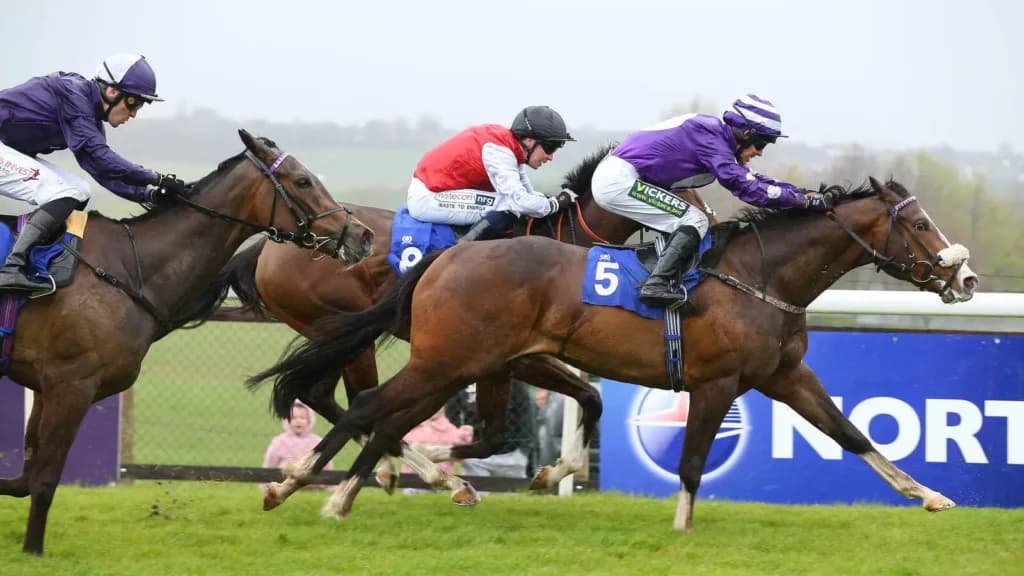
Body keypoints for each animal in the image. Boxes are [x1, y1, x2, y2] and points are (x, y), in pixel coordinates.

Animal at [0, 129, 374, 555]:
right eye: (302, 180)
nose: (363, 235)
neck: (128, 268)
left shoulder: (46, 385)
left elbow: (25, 478)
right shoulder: (71, 385)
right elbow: (43, 479)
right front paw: (33, 550)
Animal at [223, 144, 716, 499]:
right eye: (684, 194)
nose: (710, 227)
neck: (560, 243)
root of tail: (267, 248)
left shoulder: (499, 357)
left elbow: (585, 398)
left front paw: (550, 471)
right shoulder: (513, 358)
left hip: (339, 335)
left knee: (324, 393)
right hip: (348, 334)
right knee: (344, 396)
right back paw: (405, 472)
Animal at [254, 177, 978, 527]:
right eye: (919, 223)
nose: (966, 278)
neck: (762, 277)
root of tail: (448, 257)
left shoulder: (786, 375)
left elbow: (852, 433)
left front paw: (930, 496)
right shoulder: (717, 384)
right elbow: (691, 460)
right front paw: (682, 526)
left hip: (458, 362)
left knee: (385, 418)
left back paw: (366, 490)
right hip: (447, 359)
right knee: (368, 410)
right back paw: (302, 488)